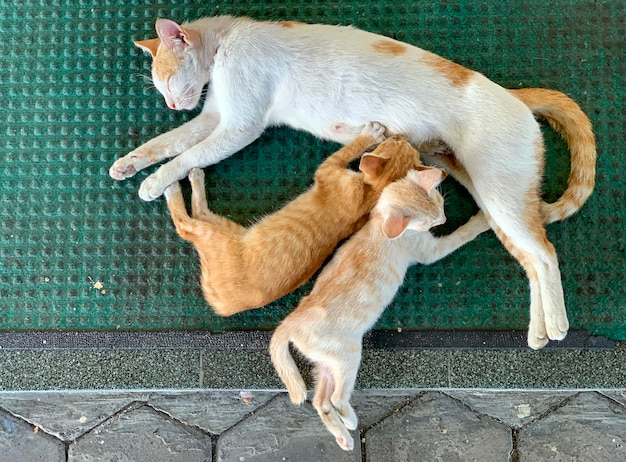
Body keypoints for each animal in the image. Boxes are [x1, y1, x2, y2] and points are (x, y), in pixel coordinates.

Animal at [162, 122, 424, 316]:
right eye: (402, 143)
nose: (402, 135)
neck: (373, 194)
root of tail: (227, 306)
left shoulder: (327, 167)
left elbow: (348, 149)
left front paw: (369, 135)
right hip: (227, 227)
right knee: (200, 212)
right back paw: (195, 176)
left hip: (215, 234)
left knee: (186, 226)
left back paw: (174, 187)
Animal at [268, 167, 488, 452]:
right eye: (428, 223)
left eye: (440, 203)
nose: (443, 218)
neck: (379, 223)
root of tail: (290, 321)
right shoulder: (429, 251)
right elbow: (460, 236)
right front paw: (481, 221)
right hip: (348, 356)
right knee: (336, 398)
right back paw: (350, 420)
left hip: (326, 364)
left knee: (321, 401)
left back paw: (344, 436)